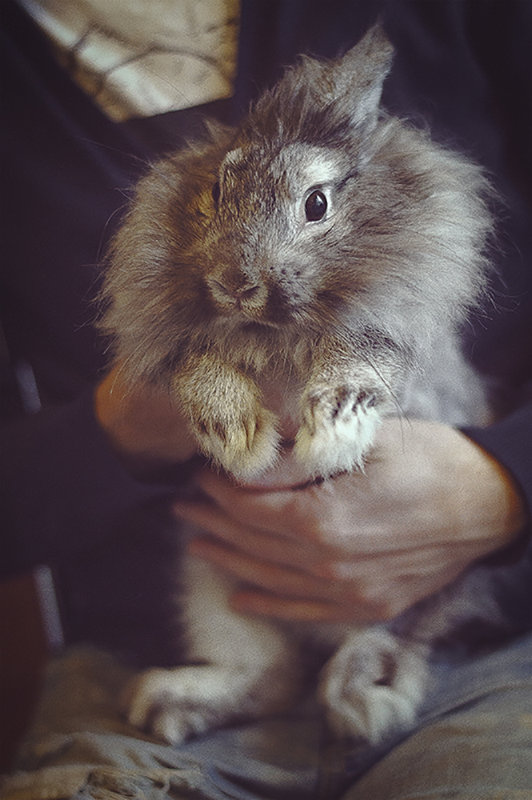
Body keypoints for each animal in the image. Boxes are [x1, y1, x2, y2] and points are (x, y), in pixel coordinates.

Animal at [100, 25, 528, 748]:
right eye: (217, 191)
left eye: (317, 204)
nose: (235, 284)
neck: (273, 328)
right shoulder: (190, 349)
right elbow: (199, 367)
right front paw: (240, 437)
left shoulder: (389, 339)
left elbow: (359, 364)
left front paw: (328, 437)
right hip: (212, 585)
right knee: (274, 677)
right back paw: (167, 703)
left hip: (410, 592)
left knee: (375, 653)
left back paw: (362, 699)